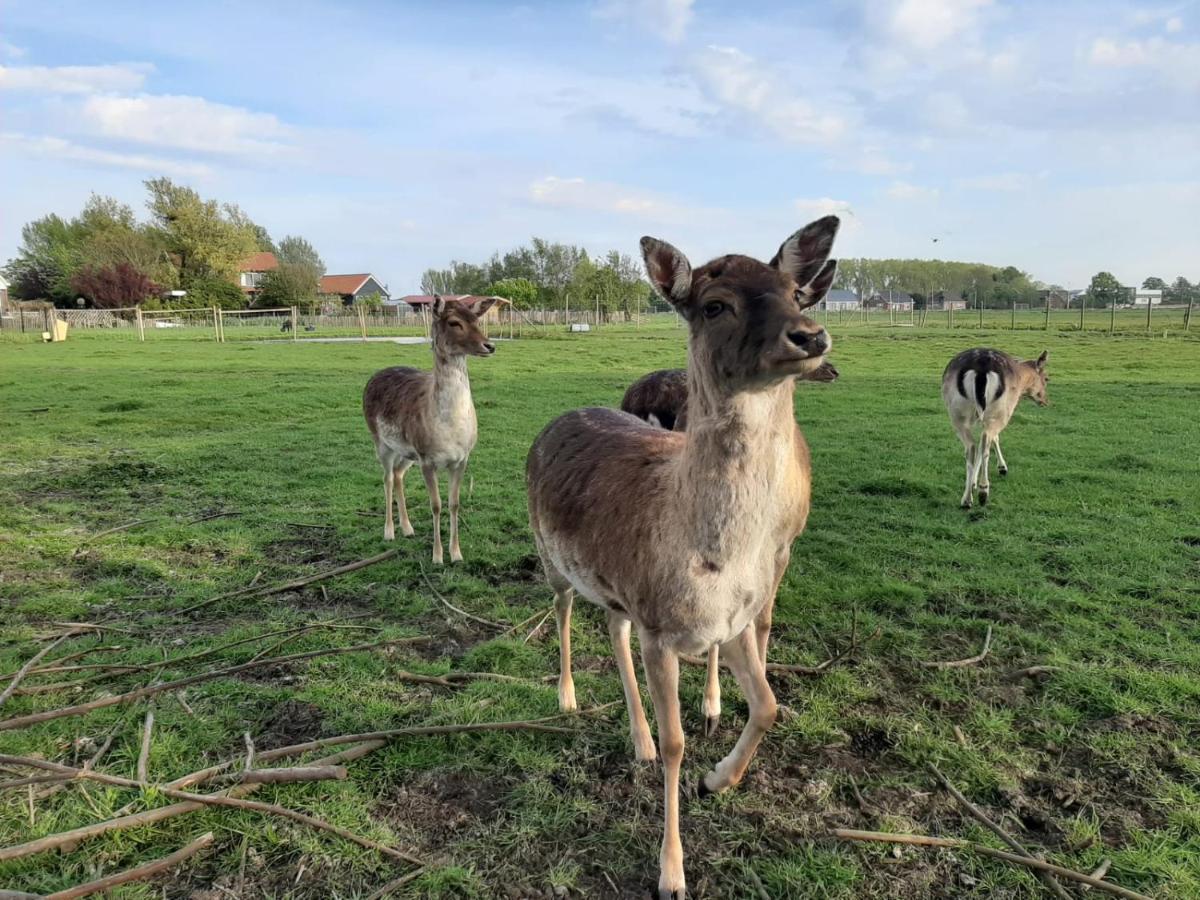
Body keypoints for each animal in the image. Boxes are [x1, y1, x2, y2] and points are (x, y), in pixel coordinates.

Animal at [528, 214, 844, 897]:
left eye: (795, 292)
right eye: (714, 304)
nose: (811, 336)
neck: (714, 561)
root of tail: (557, 417)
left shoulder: (738, 617)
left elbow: (770, 705)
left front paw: (718, 777)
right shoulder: (661, 626)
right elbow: (679, 742)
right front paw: (671, 871)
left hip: (617, 586)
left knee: (612, 628)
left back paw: (638, 740)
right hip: (550, 555)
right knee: (564, 611)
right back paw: (568, 698)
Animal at [940, 348, 1046, 511]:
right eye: (1047, 379)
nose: (1045, 401)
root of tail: (981, 367)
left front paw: (973, 483)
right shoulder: (1003, 414)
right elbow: (995, 438)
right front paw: (1002, 468)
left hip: (956, 412)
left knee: (972, 446)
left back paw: (967, 499)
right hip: (998, 412)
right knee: (985, 443)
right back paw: (983, 492)